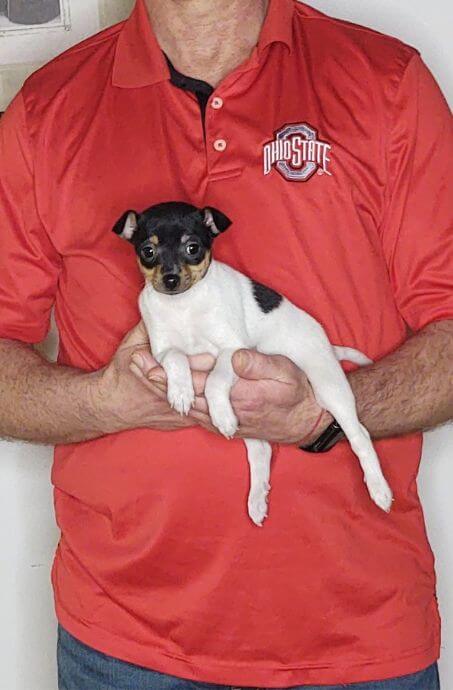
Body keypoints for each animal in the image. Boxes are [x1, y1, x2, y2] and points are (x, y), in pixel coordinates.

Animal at [114, 199, 392, 520]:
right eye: (148, 251)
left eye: (192, 248)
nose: (170, 279)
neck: (183, 304)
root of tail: (327, 347)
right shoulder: (160, 350)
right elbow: (176, 357)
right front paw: (181, 391)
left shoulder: (232, 350)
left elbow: (215, 380)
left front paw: (219, 411)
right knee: (262, 450)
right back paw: (258, 498)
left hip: (330, 388)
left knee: (359, 434)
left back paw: (379, 489)